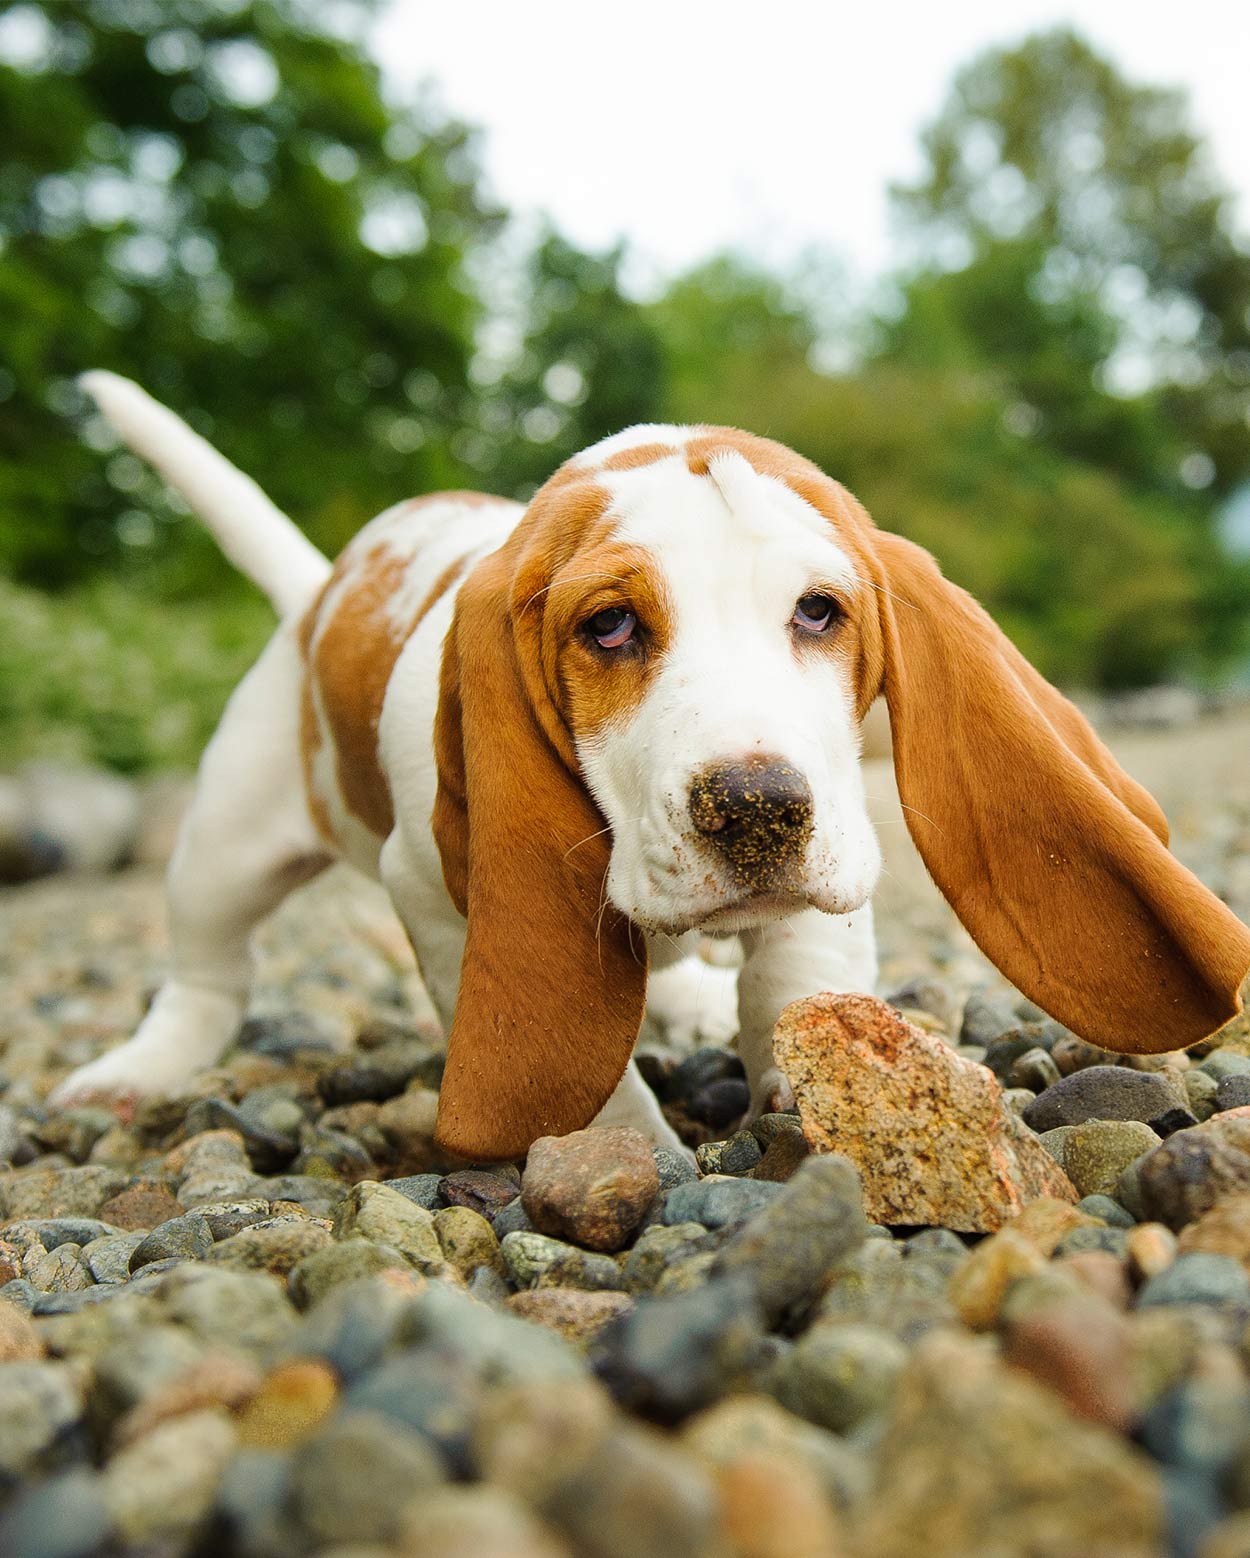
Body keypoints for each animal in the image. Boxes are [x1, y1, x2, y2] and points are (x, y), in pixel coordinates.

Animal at [53, 370, 1246, 1165]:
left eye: (820, 611)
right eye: (611, 626)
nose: (756, 807)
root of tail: (317, 595)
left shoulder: (839, 844)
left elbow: (794, 968)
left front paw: (805, 1077)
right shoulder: (432, 892)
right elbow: (575, 1061)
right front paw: (622, 1157)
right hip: (225, 843)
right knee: (207, 976)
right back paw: (134, 1078)